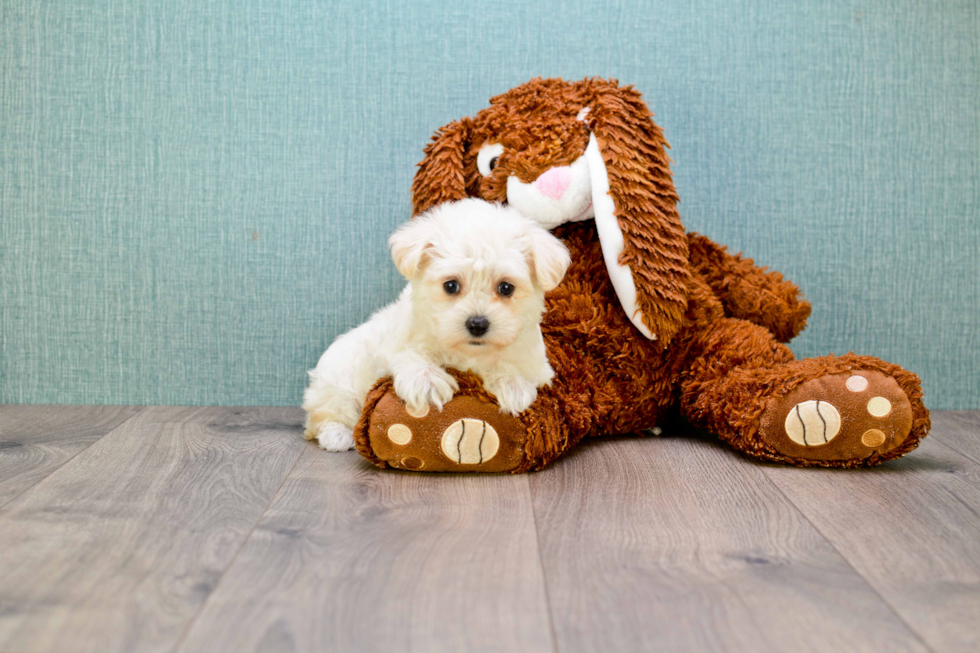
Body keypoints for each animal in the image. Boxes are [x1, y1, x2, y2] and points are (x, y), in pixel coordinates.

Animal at [302, 199, 572, 450]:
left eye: (506, 288)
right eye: (450, 285)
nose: (477, 324)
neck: (470, 353)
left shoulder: (536, 364)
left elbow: (515, 367)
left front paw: (512, 385)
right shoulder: (394, 340)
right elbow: (406, 353)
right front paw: (427, 382)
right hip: (339, 383)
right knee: (326, 414)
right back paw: (337, 434)